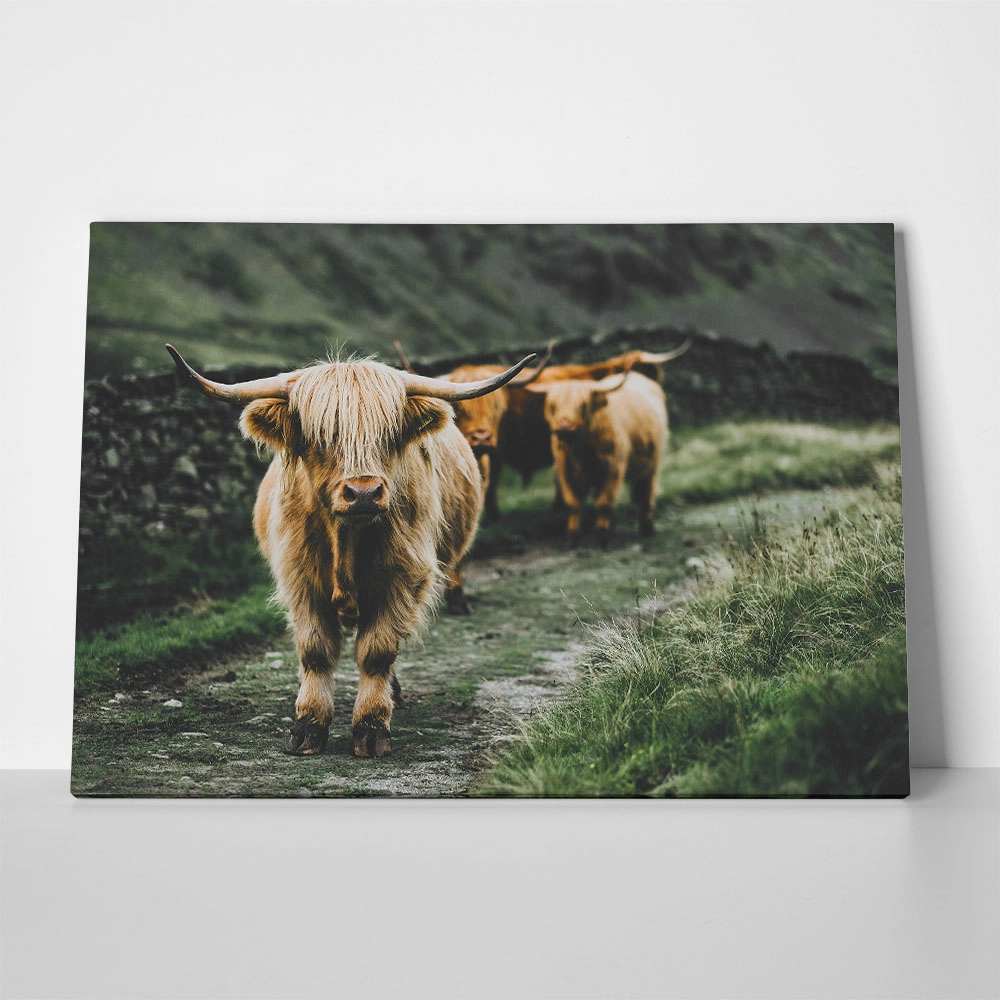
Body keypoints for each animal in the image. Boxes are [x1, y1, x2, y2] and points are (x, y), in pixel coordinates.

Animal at [165, 344, 534, 758]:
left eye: (389, 434)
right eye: (322, 435)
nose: (364, 492)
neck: (346, 539)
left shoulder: (402, 580)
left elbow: (378, 651)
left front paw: (371, 728)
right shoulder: (299, 579)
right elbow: (315, 650)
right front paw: (308, 725)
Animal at [525, 370, 668, 548]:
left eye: (582, 405)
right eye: (553, 405)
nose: (564, 426)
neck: (580, 449)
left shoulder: (614, 468)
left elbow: (604, 502)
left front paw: (602, 537)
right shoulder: (565, 471)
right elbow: (573, 503)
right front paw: (572, 537)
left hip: (651, 464)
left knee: (646, 494)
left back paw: (646, 528)